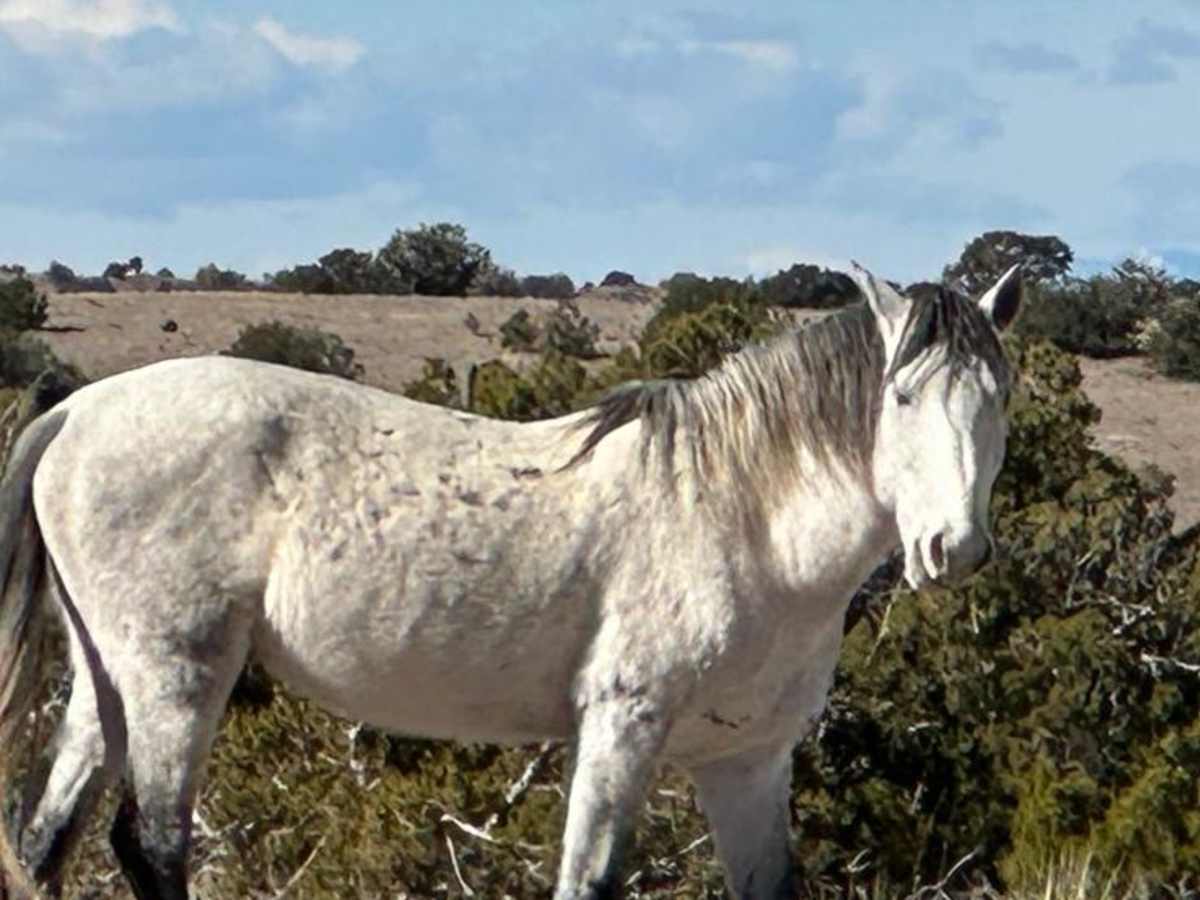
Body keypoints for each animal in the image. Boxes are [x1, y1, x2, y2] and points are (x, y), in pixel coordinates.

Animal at [0, 263, 1022, 899]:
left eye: (1000, 399)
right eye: (901, 395)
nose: (954, 548)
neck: (742, 515)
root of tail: (75, 412)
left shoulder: (747, 762)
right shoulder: (621, 726)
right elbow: (588, 880)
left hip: (107, 681)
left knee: (47, 842)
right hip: (178, 677)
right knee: (152, 844)